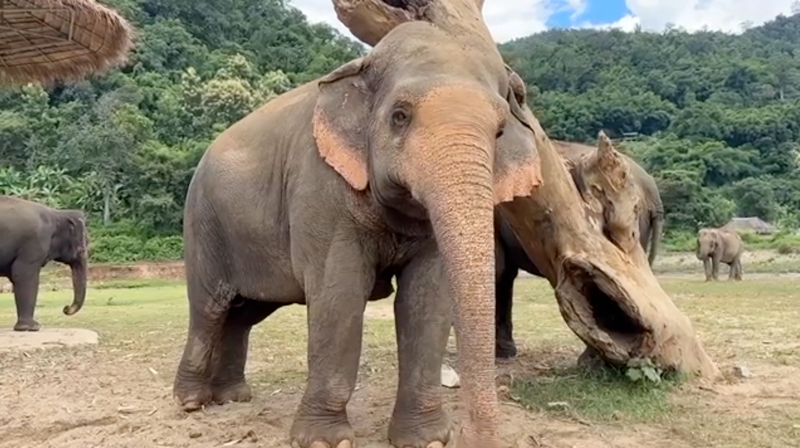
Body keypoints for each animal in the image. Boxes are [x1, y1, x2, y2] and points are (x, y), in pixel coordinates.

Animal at [0, 194, 89, 330]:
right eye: (80, 249)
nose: (66, 308)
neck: (57, 214)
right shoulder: (35, 242)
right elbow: (22, 273)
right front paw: (32, 327)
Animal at [172, 18, 540, 448]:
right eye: (399, 116)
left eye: (499, 132)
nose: (479, 438)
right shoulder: (319, 186)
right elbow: (339, 294)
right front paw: (323, 441)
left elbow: (426, 300)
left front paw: (427, 440)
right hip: (203, 223)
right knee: (210, 308)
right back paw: (191, 403)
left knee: (245, 312)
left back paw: (232, 397)